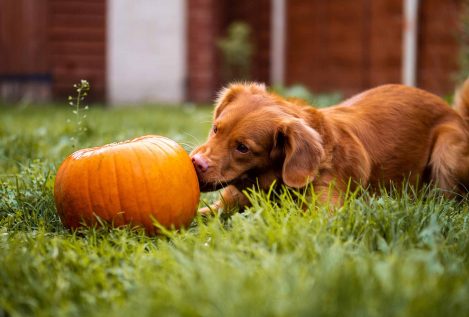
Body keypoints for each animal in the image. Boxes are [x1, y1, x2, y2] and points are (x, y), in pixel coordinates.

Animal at [189, 79, 468, 214]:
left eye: (243, 148)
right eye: (216, 129)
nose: (196, 163)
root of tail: (454, 113)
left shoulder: (325, 213)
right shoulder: (222, 206)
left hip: (447, 150)